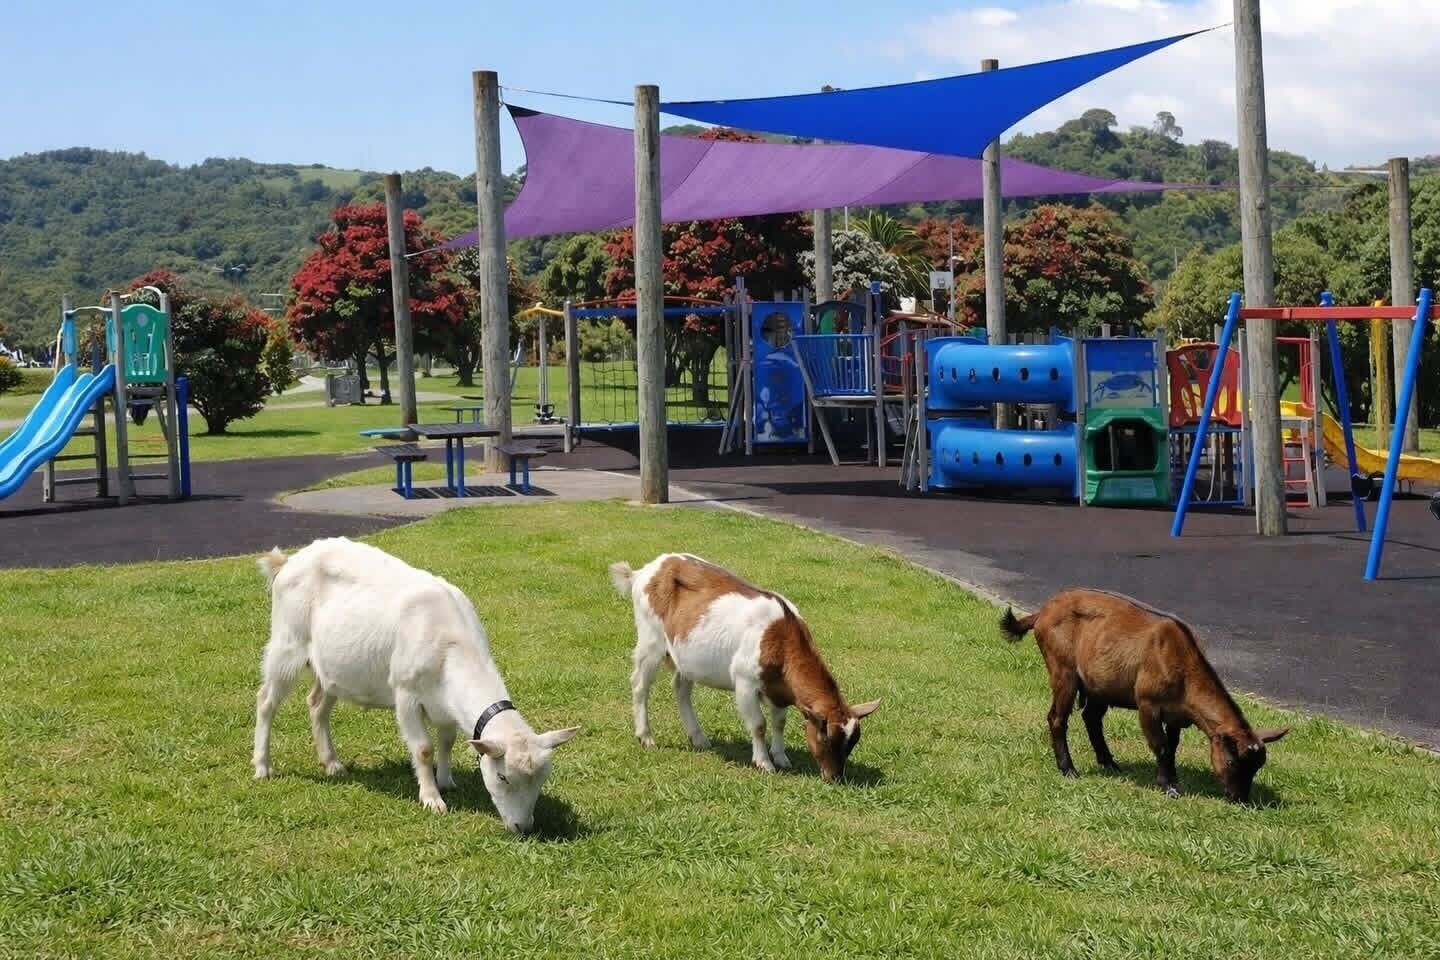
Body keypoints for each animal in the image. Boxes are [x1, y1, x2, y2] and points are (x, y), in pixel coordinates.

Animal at [252, 537, 580, 833]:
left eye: (542, 779)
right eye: (502, 777)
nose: (523, 827)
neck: (451, 644)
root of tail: (288, 562)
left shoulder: (445, 704)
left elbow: (447, 741)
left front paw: (447, 782)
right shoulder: (406, 694)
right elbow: (423, 749)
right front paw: (432, 799)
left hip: (332, 667)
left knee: (317, 704)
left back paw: (332, 764)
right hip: (287, 643)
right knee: (266, 701)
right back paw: (263, 766)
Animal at [610, 553, 879, 781]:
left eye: (852, 743)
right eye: (826, 738)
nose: (834, 776)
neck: (781, 636)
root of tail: (644, 571)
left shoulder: (778, 689)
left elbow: (779, 723)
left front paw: (781, 757)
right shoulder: (745, 683)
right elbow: (759, 725)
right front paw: (764, 763)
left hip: (685, 655)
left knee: (681, 688)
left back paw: (699, 738)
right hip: (651, 640)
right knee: (640, 685)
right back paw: (646, 737)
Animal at [1000, 588, 1287, 803]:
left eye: (1257, 767)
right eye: (1232, 761)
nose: (1240, 798)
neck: (1182, 660)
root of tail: (1042, 612)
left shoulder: (1176, 713)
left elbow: (1172, 746)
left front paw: (1173, 777)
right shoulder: (1148, 704)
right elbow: (1160, 745)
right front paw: (1168, 786)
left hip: (1099, 684)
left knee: (1091, 717)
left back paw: (1109, 763)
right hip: (1063, 670)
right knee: (1057, 717)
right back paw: (1068, 769)